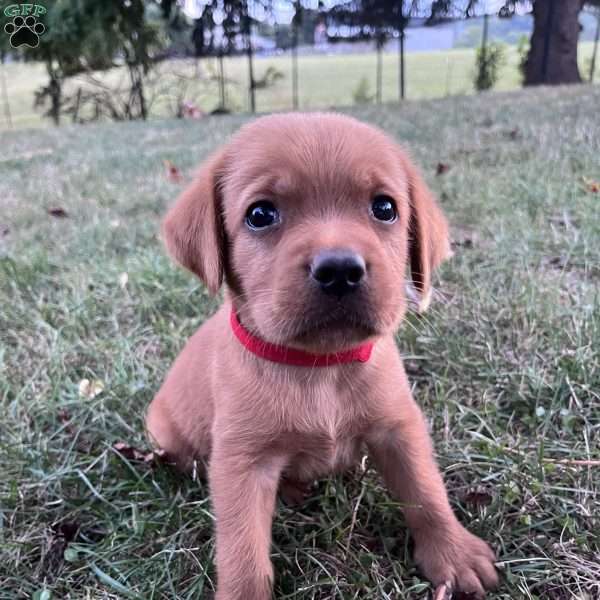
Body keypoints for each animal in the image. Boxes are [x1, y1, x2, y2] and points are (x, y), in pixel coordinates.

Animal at [148, 113, 500, 600]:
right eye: (260, 214)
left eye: (384, 208)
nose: (339, 270)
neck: (320, 368)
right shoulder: (241, 461)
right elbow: (242, 549)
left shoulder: (399, 427)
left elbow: (425, 490)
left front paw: (453, 553)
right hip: (166, 432)